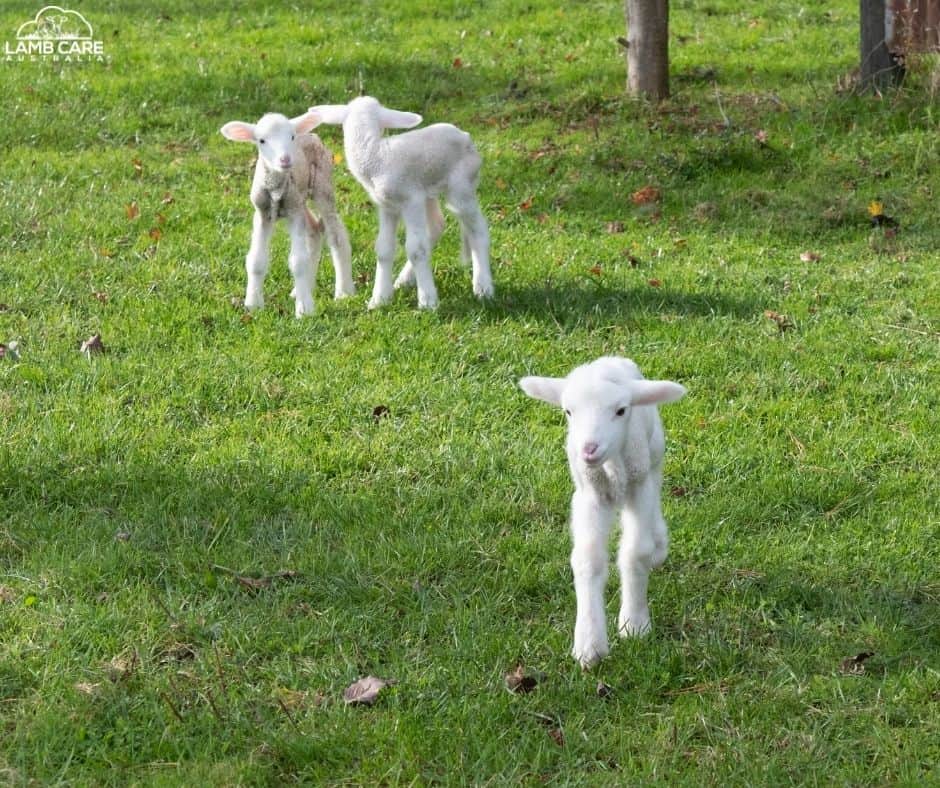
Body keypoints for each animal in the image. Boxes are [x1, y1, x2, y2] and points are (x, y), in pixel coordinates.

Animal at [221, 111, 356, 320]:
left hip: (322, 184)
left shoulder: (293, 212)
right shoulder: (263, 212)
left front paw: (305, 310)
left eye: (292, 137)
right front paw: (253, 305)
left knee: (336, 235)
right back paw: (302, 289)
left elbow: (298, 261)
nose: (285, 159)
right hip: (300, 199)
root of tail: (312, 134)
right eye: (261, 140)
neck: (276, 187)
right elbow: (256, 259)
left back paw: (343, 292)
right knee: (315, 229)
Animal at [310, 97, 500, 310]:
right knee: (436, 226)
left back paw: (483, 288)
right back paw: (404, 280)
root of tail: (467, 137)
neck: (376, 155)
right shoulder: (387, 205)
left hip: (461, 187)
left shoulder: (411, 199)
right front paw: (379, 299)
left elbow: (416, 248)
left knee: (477, 230)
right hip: (428, 191)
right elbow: (384, 249)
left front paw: (427, 303)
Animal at [516, 360, 688, 668]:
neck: (611, 468)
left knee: (656, 488)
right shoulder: (590, 497)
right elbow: (588, 560)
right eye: (568, 411)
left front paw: (635, 624)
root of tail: (610, 360)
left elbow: (636, 553)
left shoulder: (638, 485)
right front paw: (589, 644)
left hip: (652, 455)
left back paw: (659, 543)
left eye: (621, 410)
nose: (589, 450)